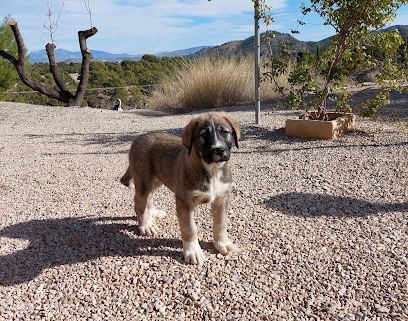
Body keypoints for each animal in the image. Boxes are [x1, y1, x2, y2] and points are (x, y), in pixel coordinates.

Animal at [122, 111, 242, 264]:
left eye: (225, 132)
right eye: (203, 135)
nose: (219, 150)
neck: (212, 170)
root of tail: (138, 138)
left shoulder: (222, 198)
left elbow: (221, 223)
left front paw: (223, 244)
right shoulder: (184, 201)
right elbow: (189, 228)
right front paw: (193, 251)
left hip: (156, 179)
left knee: (150, 197)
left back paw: (153, 213)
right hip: (143, 180)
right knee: (140, 202)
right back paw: (146, 225)